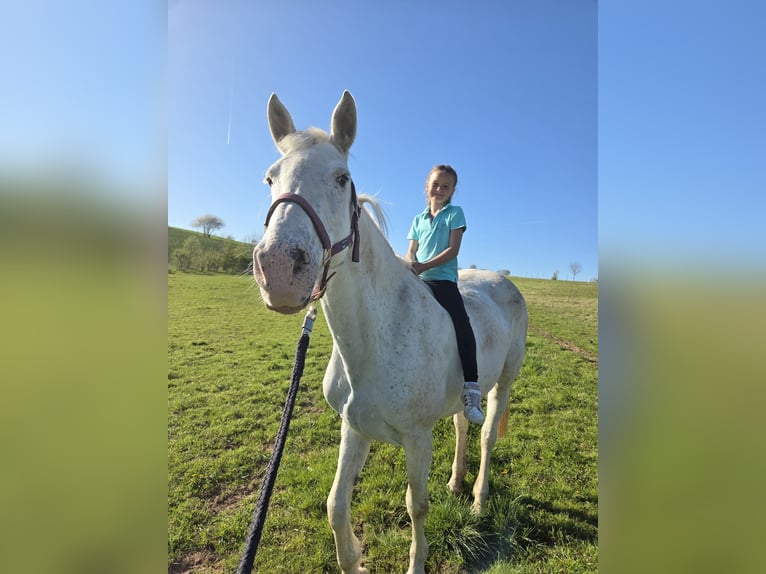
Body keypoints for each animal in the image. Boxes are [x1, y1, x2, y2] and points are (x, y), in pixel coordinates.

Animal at [252, 90, 528, 574]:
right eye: (270, 177)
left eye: (341, 178)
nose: (279, 269)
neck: (374, 340)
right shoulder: (354, 428)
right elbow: (335, 505)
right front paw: (353, 561)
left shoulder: (417, 439)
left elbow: (416, 505)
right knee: (463, 424)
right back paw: (456, 482)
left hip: (505, 383)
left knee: (487, 435)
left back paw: (477, 500)